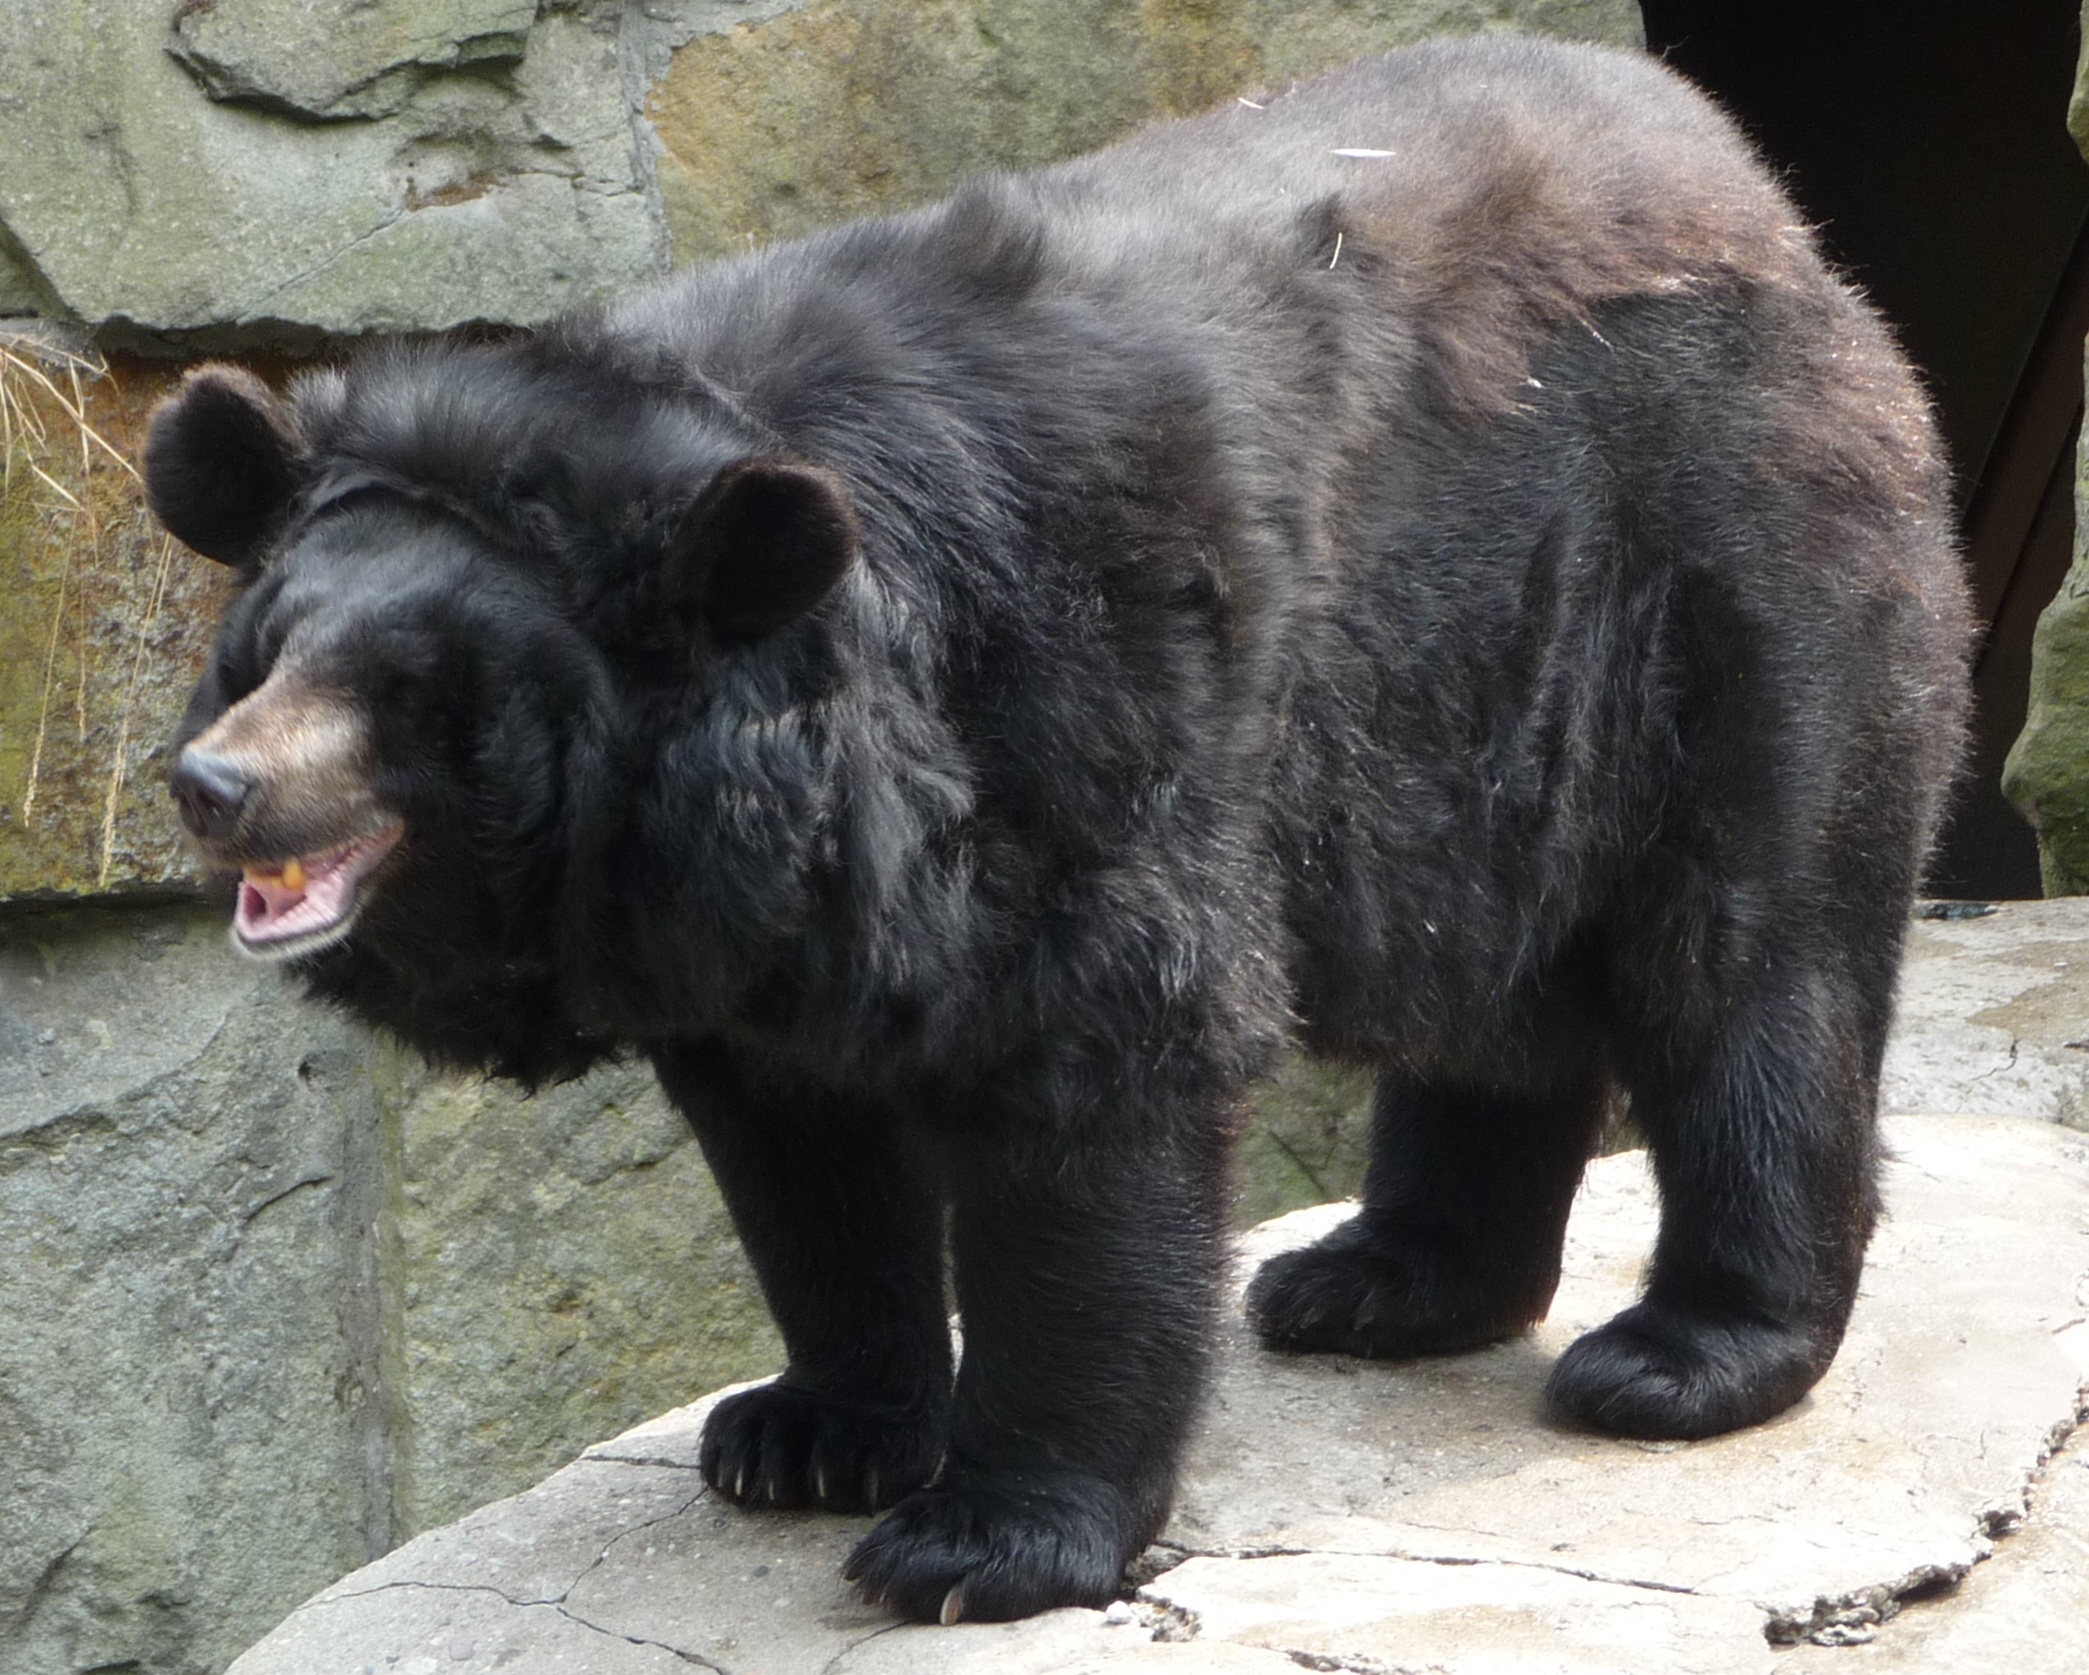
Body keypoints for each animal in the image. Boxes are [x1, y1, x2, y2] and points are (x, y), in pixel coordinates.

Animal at [145, 34, 1969, 1625]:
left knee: (1749, 954)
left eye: (410, 690)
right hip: (1475, 701)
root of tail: (1783, 226)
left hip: (1724, 576)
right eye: (267, 647)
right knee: (1492, 987)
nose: (214, 787)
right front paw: (804, 1432)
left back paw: (1677, 1353)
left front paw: (977, 1543)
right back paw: (1377, 1280)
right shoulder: (755, 922)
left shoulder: (1073, 686)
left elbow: (1097, 1071)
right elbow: (801, 1152)